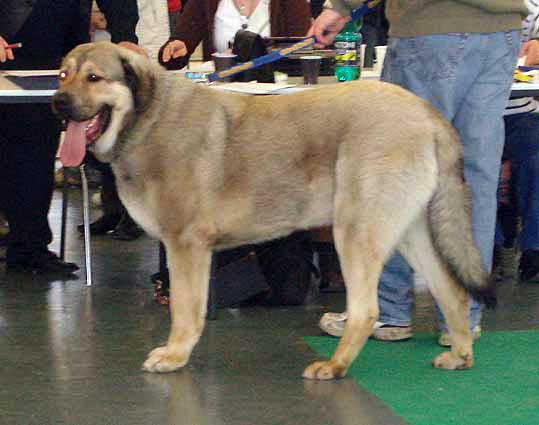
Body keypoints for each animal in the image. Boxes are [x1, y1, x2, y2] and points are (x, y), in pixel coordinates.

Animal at [52, 42, 496, 380]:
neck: (147, 119)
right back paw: (460, 354)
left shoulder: (186, 245)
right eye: (62, 74)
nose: (58, 102)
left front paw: (175, 355)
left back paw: (335, 366)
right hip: (410, 230)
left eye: (94, 78)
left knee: (366, 310)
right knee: (451, 292)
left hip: (355, 232)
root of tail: (428, 115)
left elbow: (185, 309)